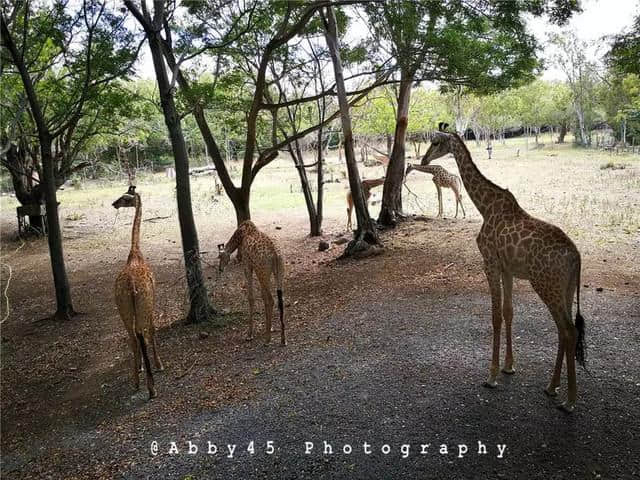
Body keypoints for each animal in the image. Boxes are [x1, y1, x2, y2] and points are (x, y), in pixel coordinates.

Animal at [422, 122, 588, 410]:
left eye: (435, 142)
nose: (423, 160)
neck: (485, 206)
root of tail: (576, 256)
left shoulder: (489, 263)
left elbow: (495, 316)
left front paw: (491, 376)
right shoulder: (507, 268)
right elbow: (509, 312)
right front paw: (509, 367)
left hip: (546, 285)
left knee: (568, 330)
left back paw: (569, 401)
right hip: (565, 289)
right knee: (564, 330)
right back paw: (551, 387)